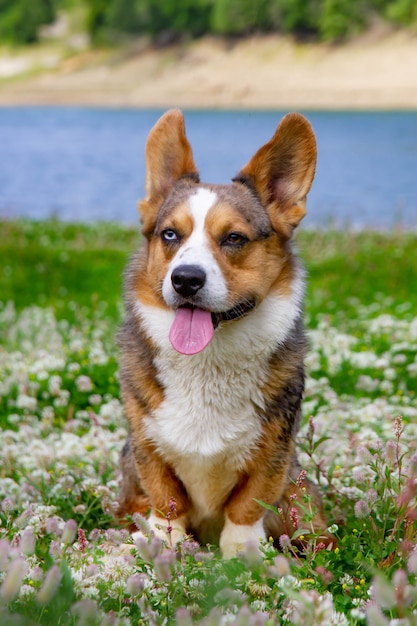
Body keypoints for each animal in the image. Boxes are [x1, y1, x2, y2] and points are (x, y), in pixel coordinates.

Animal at [116, 108, 328, 556]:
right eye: (170, 234)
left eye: (233, 238)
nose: (185, 279)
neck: (207, 363)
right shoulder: (147, 445)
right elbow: (166, 501)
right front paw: (167, 549)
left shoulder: (273, 451)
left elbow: (246, 507)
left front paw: (243, 558)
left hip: (301, 497)